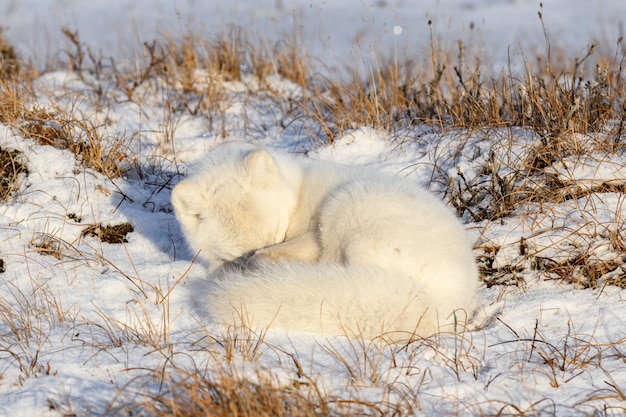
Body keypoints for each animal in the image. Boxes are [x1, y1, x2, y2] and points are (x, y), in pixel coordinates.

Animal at [172, 144, 478, 342]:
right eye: (239, 252)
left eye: (279, 232)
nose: (249, 261)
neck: (297, 191)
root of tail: (445, 298)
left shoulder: (312, 236)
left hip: (343, 205)